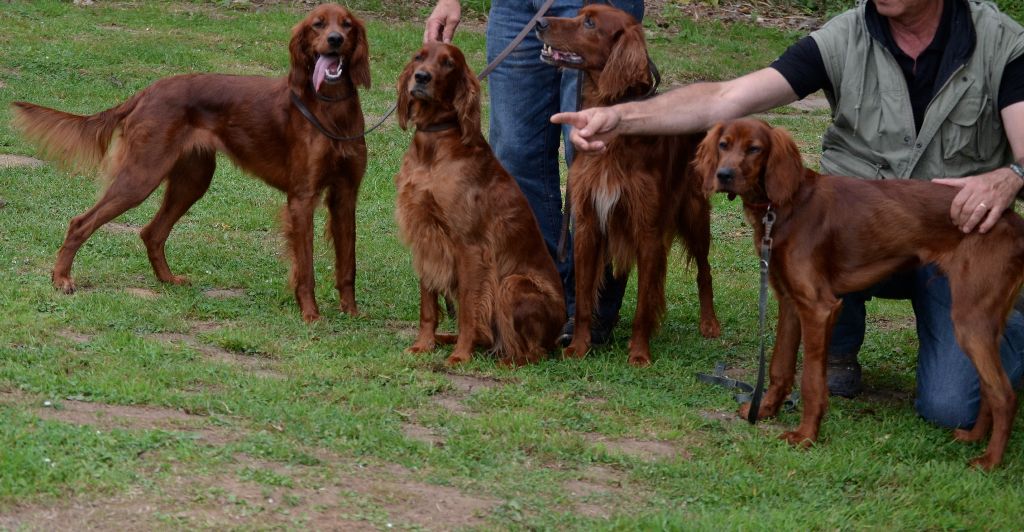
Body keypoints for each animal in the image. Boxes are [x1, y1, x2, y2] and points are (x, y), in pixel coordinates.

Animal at [9, 4, 370, 321]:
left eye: (347, 24)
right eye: (318, 24)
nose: (335, 39)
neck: (331, 109)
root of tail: (146, 92)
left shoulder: (345, 195)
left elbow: (349, 263)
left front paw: (352, 314)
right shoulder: (302, 198)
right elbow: (306, 267)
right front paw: (311, 315)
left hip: (192, 179)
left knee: (152, 232)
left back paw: (168, 280)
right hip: (142, 176)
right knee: (81, 222)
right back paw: (61, 279)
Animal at [393, 42, 569, 366]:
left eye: (448, 63)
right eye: (419, 57)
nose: (421, 77)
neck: (434, 148)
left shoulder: (470, 247)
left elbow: (468, 309)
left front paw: (460, 355)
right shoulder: (425, 237)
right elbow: (428, 306)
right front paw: (423, 345)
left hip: (512, 284)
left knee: (534, 353)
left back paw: (504, 360)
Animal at [536, 4, 720, 368]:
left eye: (589, 23)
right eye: (579, 13)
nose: (539, 22)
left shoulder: (647, 230)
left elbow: (642, 305)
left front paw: (638, 353)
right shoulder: (588, 222)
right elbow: (583, 300)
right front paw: (578, 347)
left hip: (694, 214)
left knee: (704, 271)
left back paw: (709, 323)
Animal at [696, 117, 1024, 470]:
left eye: (755, 148)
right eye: (724, 145)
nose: (723, 175)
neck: (785, 206)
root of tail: (1012, 221)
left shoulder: (819, 307)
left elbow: (811, 381)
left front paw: (806, 435)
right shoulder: (791, 301)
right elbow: (780, 366)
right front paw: (766, 410)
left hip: (969, 319)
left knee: (1004, 394)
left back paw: (990, 460)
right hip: (984, 321)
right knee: (990, 389)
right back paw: (974, 437)